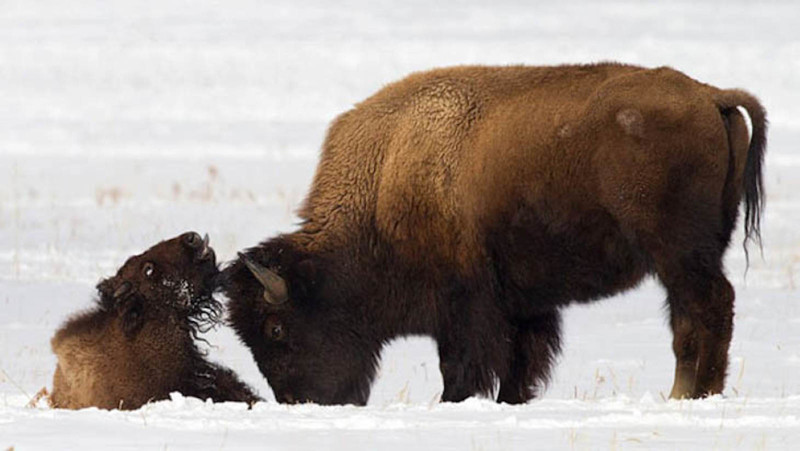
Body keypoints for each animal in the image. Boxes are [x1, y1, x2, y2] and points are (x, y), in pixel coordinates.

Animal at [222, 63, 764, 406]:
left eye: (276, 329)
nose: (297, 401)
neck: (385, 183)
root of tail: (710, 95)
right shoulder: (523, 305)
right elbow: (522, 362)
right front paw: (510, 401)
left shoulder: (466, 308)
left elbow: (464, 366)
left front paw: (455, 402)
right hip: (688, 256)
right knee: (690, 319)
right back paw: (685, 393)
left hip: (679, 254)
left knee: (708, 309)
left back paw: (698, 393)